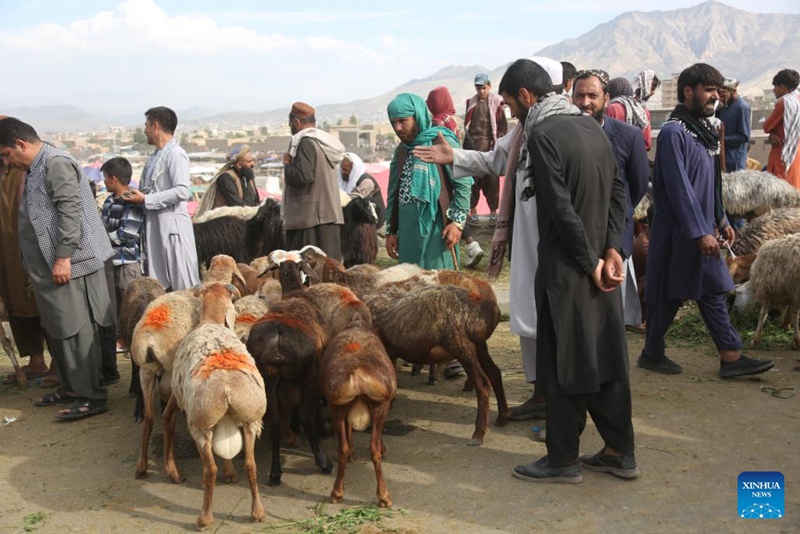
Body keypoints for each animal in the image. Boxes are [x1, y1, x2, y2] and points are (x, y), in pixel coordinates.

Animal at [167, 284, 268, 532]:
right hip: (252, 420)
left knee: (209, 470)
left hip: (199, 425)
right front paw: (230, 473)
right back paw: (258, 512)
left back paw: (204, 518)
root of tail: (227, 387)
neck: (211, 321)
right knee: (251, 465)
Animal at [318, 320, 396, 508]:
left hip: (338, 407)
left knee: (344, 448)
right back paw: (384, 496)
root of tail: (358, 375)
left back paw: (337, 493)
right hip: (379, 404)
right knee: (372, 448)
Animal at [366, 284, 510, 448]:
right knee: (495, 373)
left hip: (461, 345)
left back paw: (478, 434)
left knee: (483, 382)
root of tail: (489, 309)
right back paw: (503, 417)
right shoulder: (390, 353)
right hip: (478, 346)